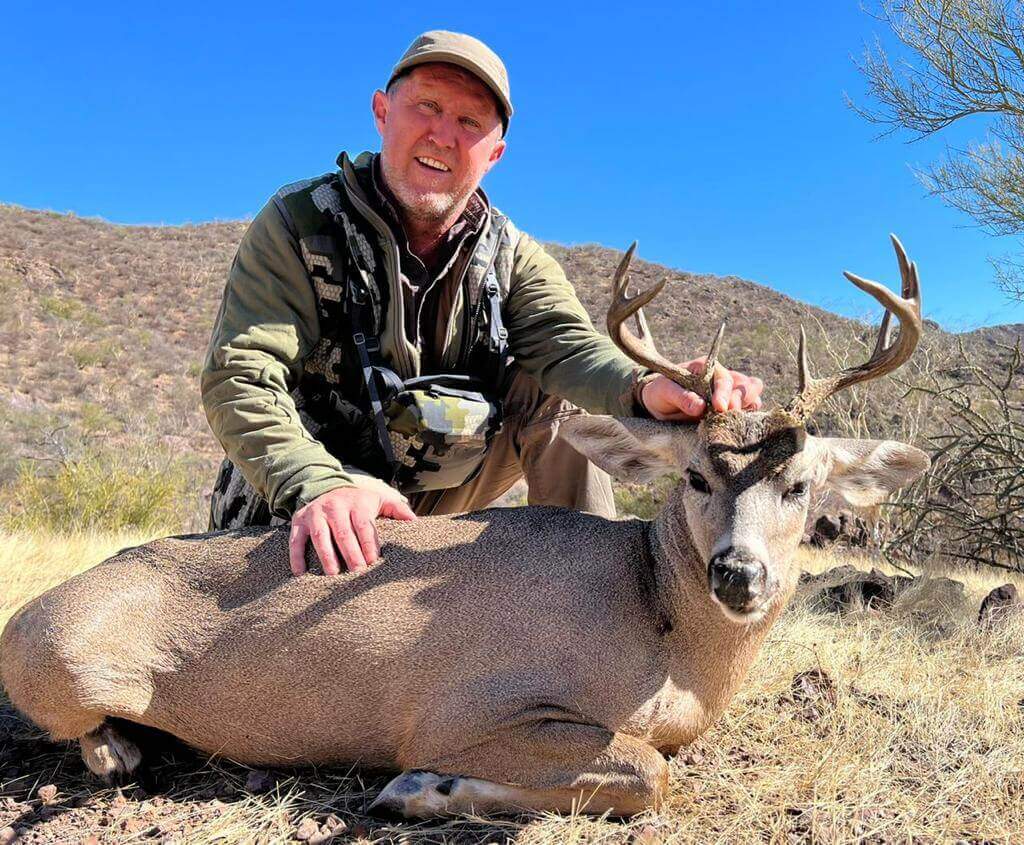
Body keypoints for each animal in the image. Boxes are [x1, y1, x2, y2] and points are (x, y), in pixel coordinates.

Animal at [0, 236, 928, 820]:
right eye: (696, 475)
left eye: (800, 485)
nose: (738, 572)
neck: (661, 630)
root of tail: (26, 615)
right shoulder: (461, 712)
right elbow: (648, 773)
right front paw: (420, 790)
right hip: (65, 661)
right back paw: (122, 750)